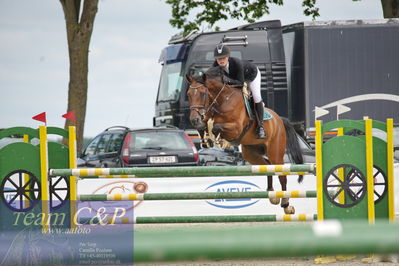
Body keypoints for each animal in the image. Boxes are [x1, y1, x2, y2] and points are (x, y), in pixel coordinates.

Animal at [188, 66, 304, 214]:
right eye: (188, 94)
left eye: (203, 93)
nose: (194, 119)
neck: (221, 100)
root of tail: (279, 120)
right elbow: (205, 127)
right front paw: (206, 141)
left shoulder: (236, 128)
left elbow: (216, 127)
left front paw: (220, 141)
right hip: (251, 153)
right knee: (266, 166)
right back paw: (272, 194)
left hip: (275, 152)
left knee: (281, 174)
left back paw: (286, 204)